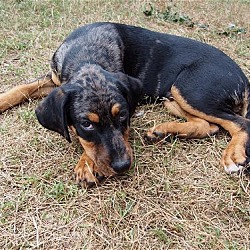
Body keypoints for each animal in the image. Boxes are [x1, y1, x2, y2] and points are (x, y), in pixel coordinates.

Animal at [0, 22, 250, 187]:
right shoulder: (55, 78)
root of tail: (244, 79)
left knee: (238, 122)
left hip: (189, 87)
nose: (122, 166)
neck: (88, 53)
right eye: (86, 124)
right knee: (208, 125)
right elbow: (21, 88)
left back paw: (232, 154)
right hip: (174, 97)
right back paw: (163, 131)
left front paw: (86, 165)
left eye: (123, 115)